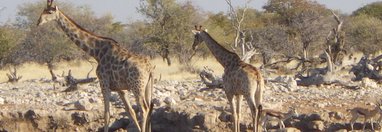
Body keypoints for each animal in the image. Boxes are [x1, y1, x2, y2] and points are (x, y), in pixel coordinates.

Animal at [37, 0, 154, 131]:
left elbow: (107, 114)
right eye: (43, 10)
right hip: (147, 86)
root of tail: (150, 69)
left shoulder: (104, 83)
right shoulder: (120, 89)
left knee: (144, 109)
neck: (97, 52)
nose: (38, 22)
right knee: (149, 108)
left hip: (137, 86)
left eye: (49, 12)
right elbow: (130, 112)